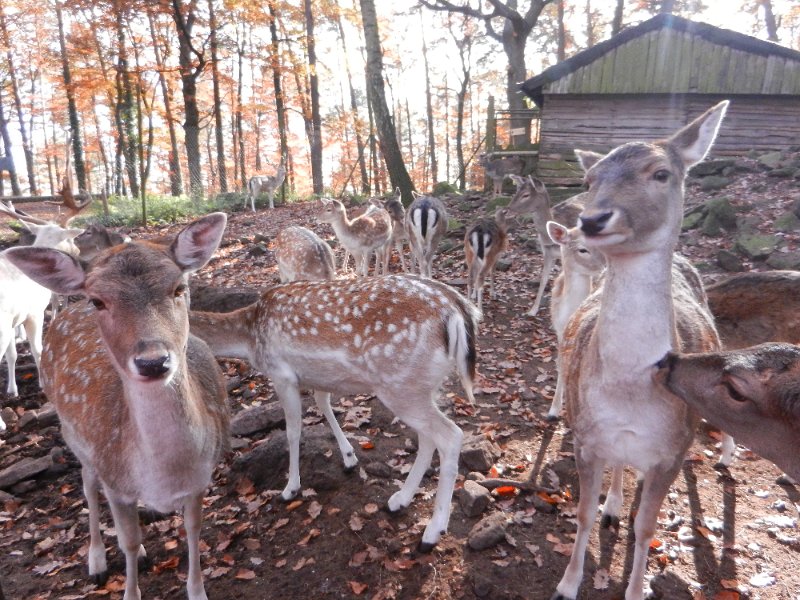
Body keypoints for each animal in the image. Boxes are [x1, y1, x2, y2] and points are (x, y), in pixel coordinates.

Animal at [5, 214, 231, 600]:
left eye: (179, 288)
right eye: (98, 301)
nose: (153, 362)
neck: (165, 475)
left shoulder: (201, 479)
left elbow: (193, 530)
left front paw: (197, 590)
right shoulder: (112, 474)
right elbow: (126, 539)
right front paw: (129, 588)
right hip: (75, 439)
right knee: (87, 487)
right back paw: (96, 560)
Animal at [191, 274, 478, 552]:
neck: (249, 337)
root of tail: (457, 310)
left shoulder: (281, 374)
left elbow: (293, 431)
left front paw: (290, 488)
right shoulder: (319, 377)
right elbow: (322, 404)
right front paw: (349, 457)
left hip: (400, 385)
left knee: (451, 435)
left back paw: (432, 532)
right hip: (422, 387)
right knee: (428, 438)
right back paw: (399, 500)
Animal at [552, 101, 732, 596]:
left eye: (661, 173)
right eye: (588, 180)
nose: (592, 220)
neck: (631, 396)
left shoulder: (671, 451)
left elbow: (648, 527)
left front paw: (635, 589)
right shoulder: (587, 436)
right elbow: (582, 514)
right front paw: (567, 583)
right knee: (618, 472)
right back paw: (614, 504)